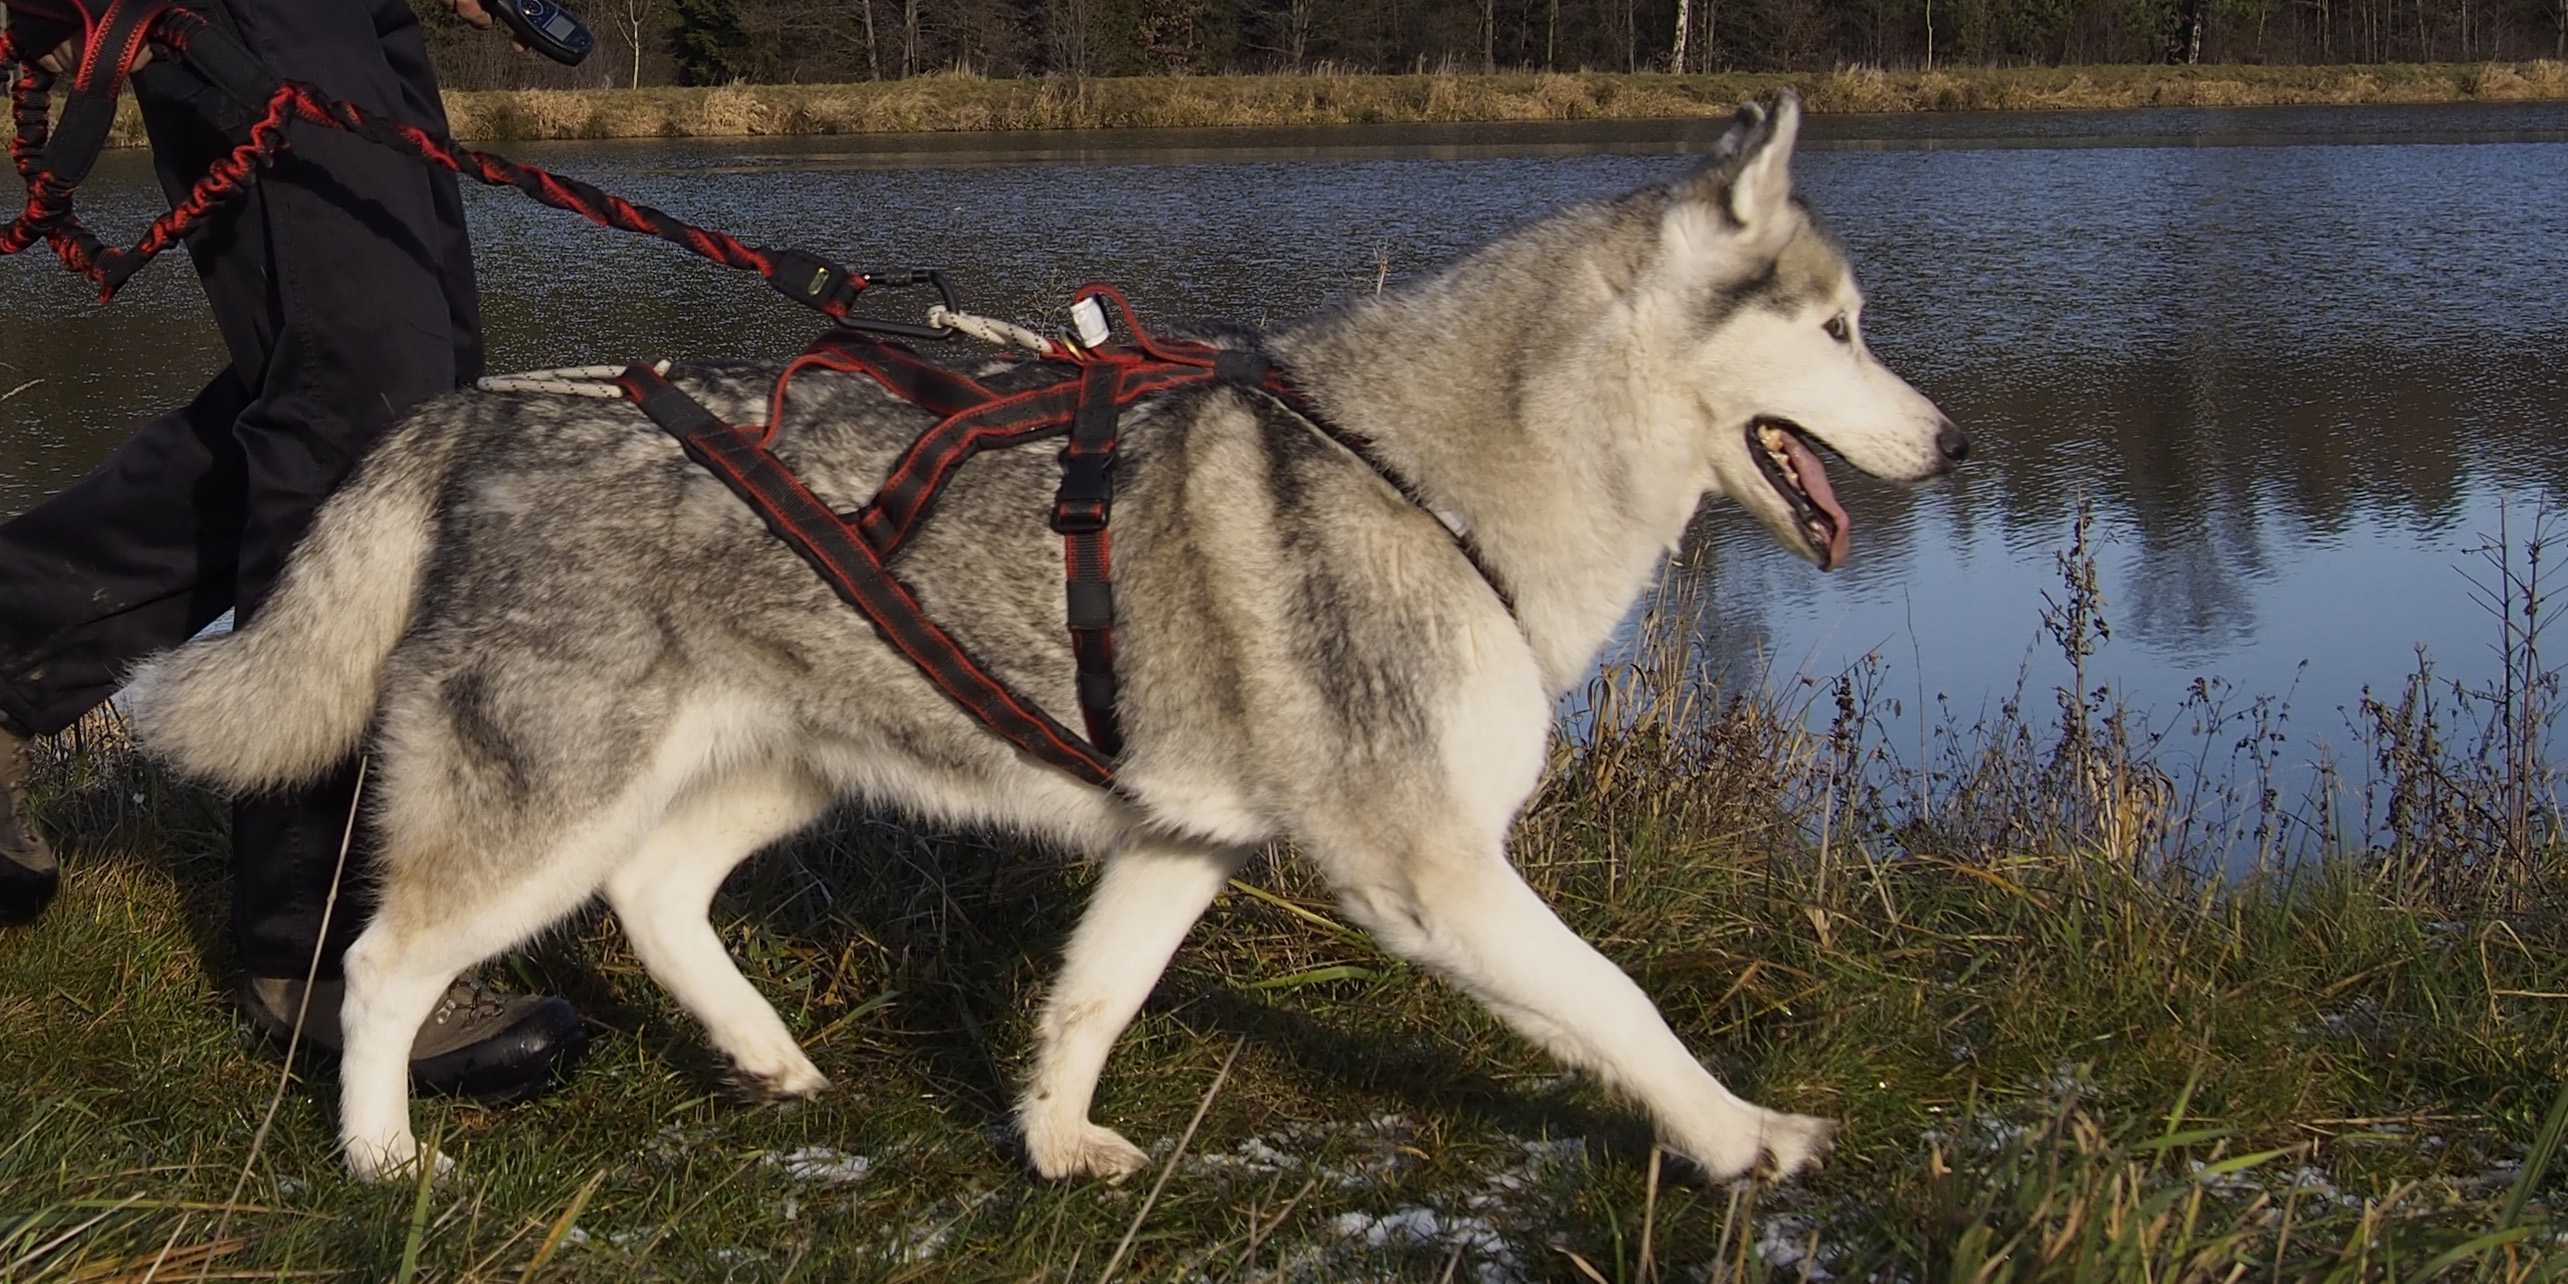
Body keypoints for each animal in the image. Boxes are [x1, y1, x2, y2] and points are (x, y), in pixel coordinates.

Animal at [120, 87, 1961, 1176]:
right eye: (1841, 330)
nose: (1951, 445)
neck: (1431, 476)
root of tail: (480, 408)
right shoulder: (1423, 869)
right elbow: (1623, 1005)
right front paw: (1745, 1136)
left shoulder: (1180, 840)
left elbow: (1091, 998)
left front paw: (1055, 1139)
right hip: (544, 807)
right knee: (382, 964)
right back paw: (382, 1157)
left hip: (771, 770)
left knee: (655, 895)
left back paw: (769, 1059)